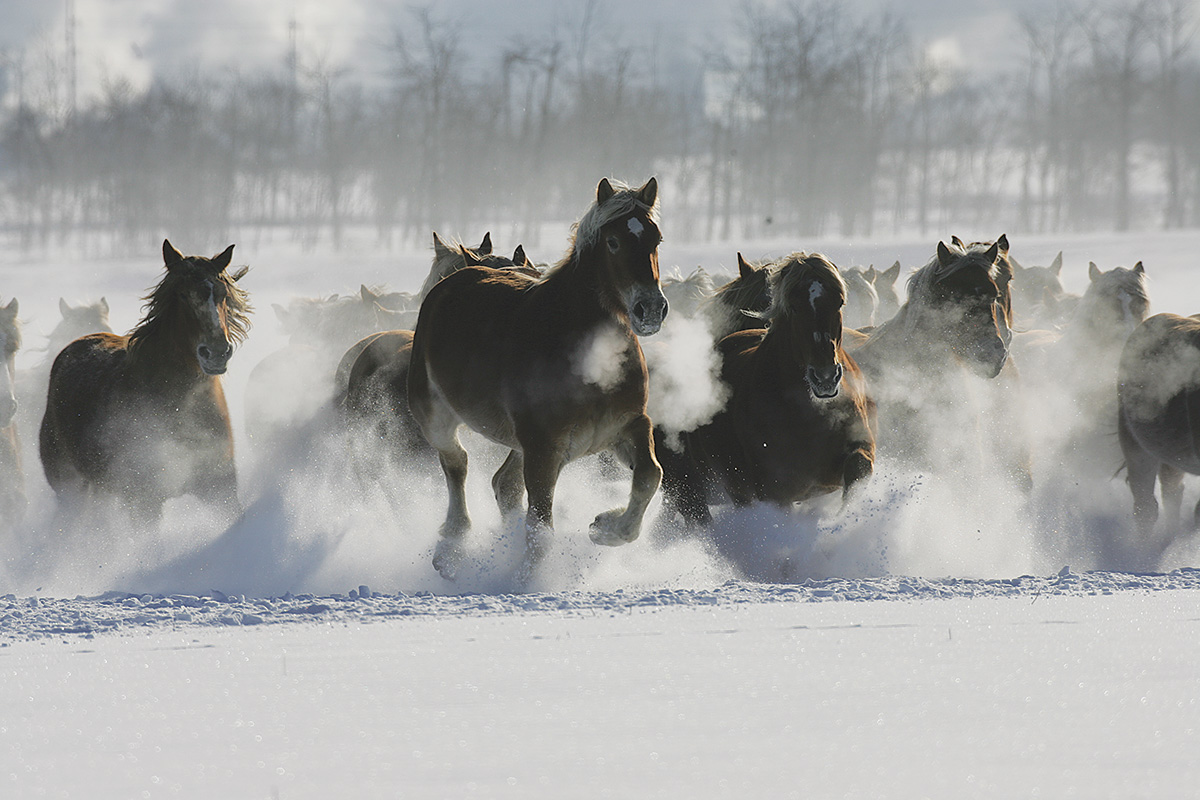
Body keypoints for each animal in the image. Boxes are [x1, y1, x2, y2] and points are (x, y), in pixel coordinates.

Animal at [39, 241, 252, 522]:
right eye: (182, 295)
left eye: (223, 294)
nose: (216, 352)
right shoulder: (144, 502)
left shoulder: (220, 488)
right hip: (70, 486)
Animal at [408, 176, 672, 582]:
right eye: (613, 242)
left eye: (655, 239)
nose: (651, 309)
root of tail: (455, 278)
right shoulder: (543, 447)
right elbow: (541, 528)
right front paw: (528, 581)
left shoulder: (629, 425)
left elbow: (648, 476)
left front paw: (606, 527)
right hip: (435, 417)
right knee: (457, 463)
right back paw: (452, 548)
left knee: (503, 484)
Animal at [662, 250, 878, 525]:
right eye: (793, 306)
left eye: (839, 302)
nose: (825, 377)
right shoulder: (773, 492)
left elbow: (858, 469)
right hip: (694, 493)